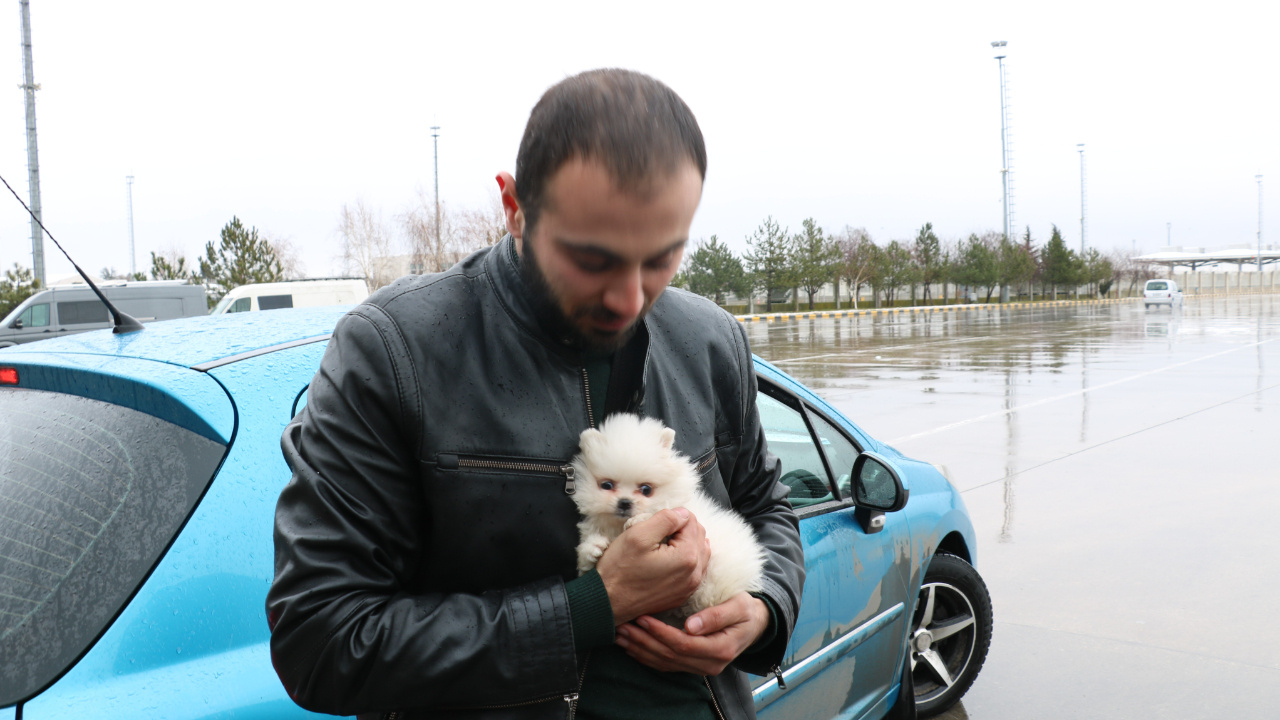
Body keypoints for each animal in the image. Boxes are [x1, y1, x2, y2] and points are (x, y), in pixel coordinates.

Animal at [573, 412, 768, 620]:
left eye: (646, 489)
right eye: (607, 485)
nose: (625, 502)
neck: (617, 527)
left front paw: (639, 520)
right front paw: (593, 548)